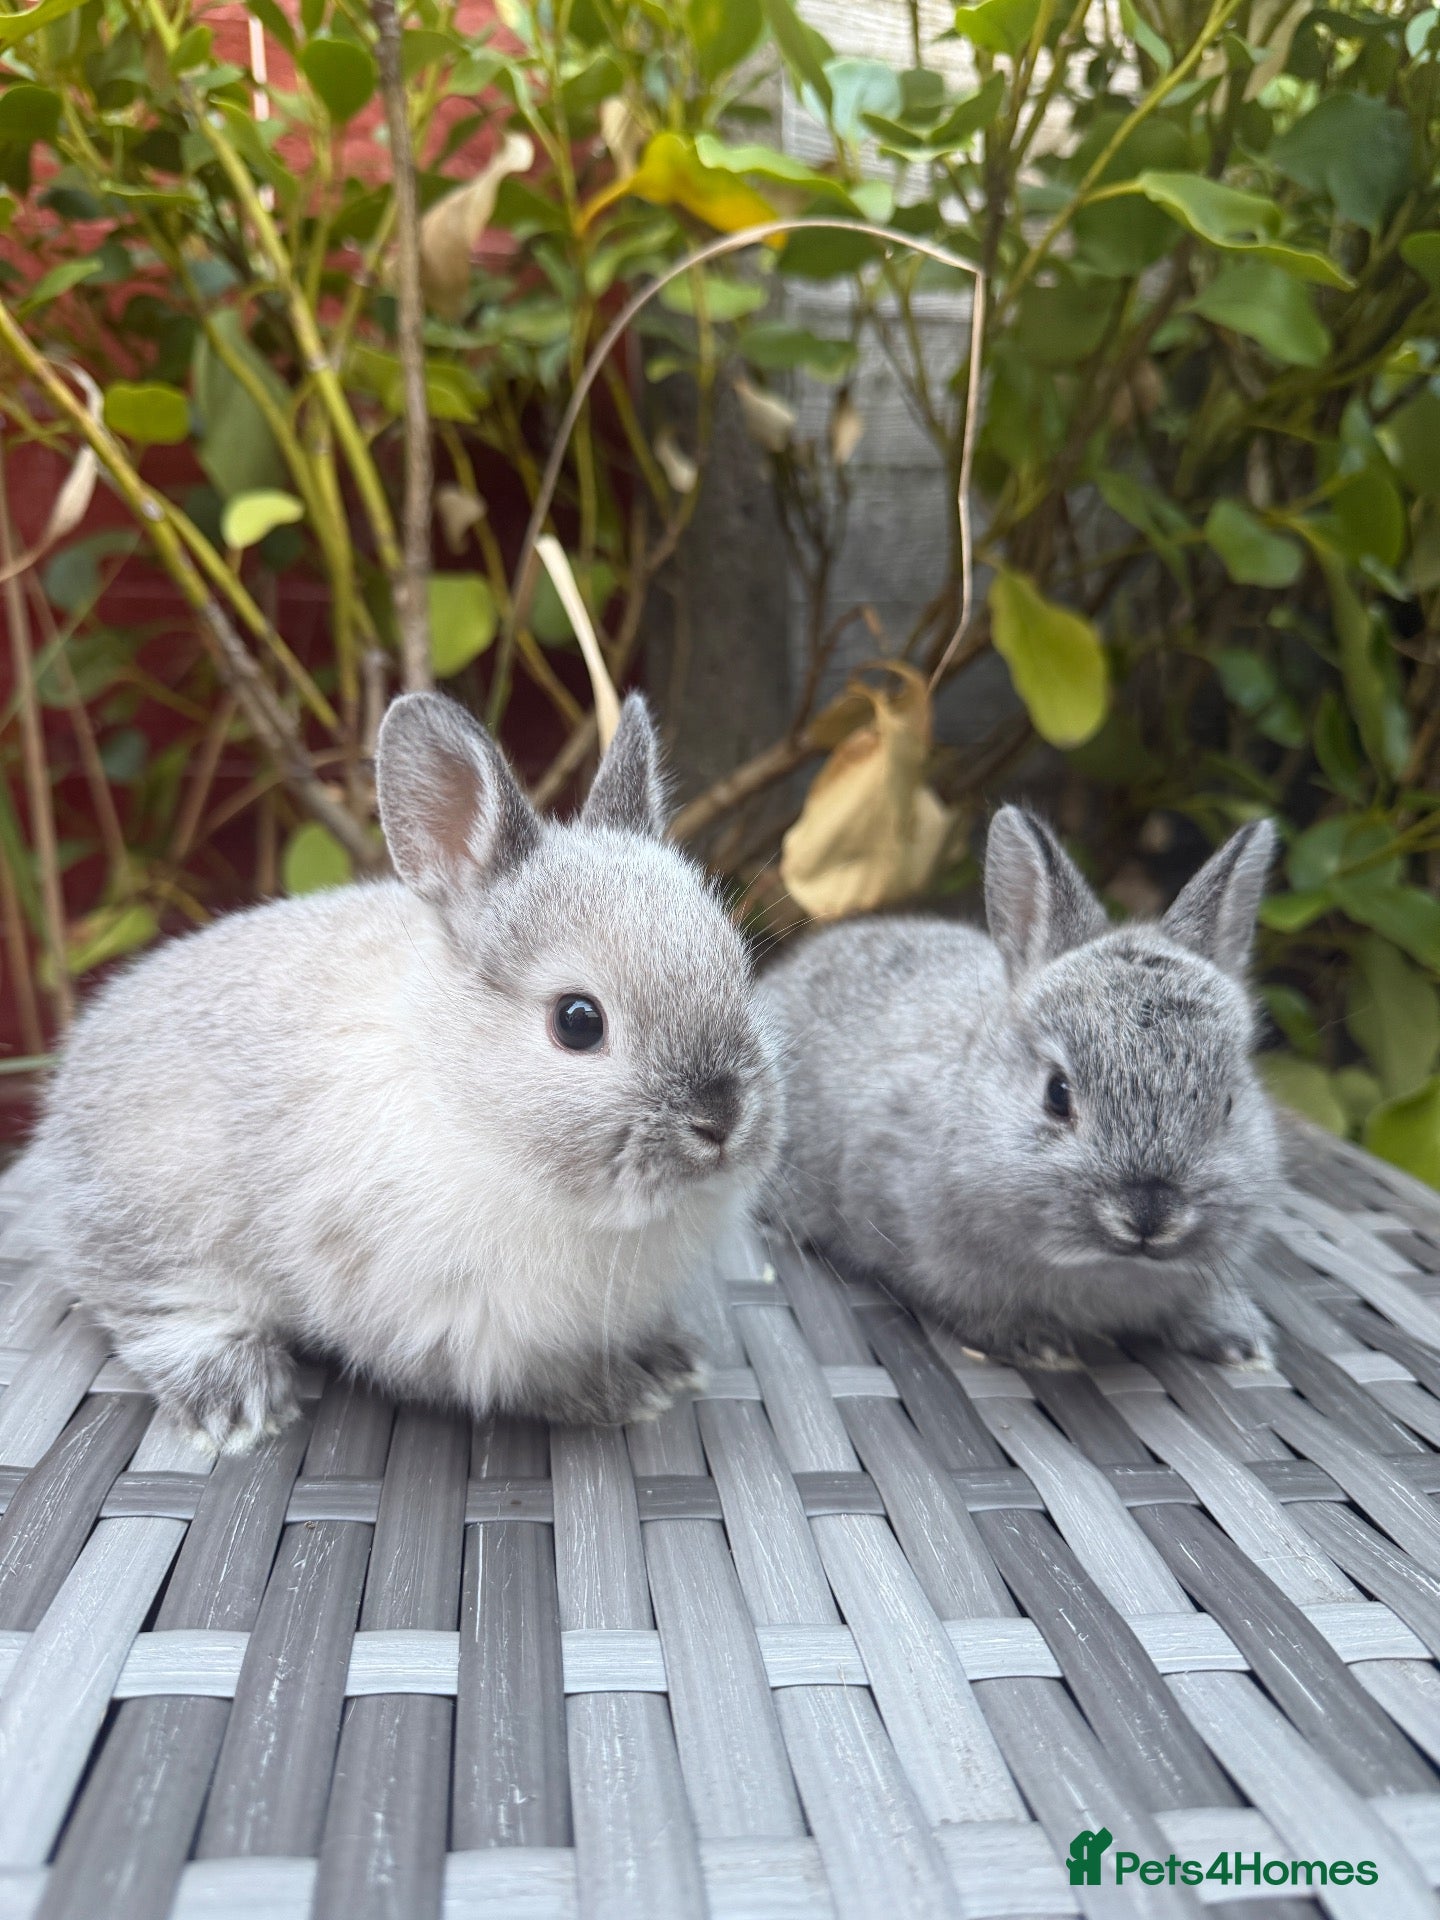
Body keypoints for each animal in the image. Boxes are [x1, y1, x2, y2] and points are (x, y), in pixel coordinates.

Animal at [28, 692, 781, 1451]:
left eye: (737, 971)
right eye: (577, 1021)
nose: (720, 1120)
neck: (463, 1104)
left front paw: (669, 1362)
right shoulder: (460, 1329)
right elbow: (536, 1381)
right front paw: (626, 1393)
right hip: (157, 1218)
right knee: (151, 1307)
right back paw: (240, 1404)